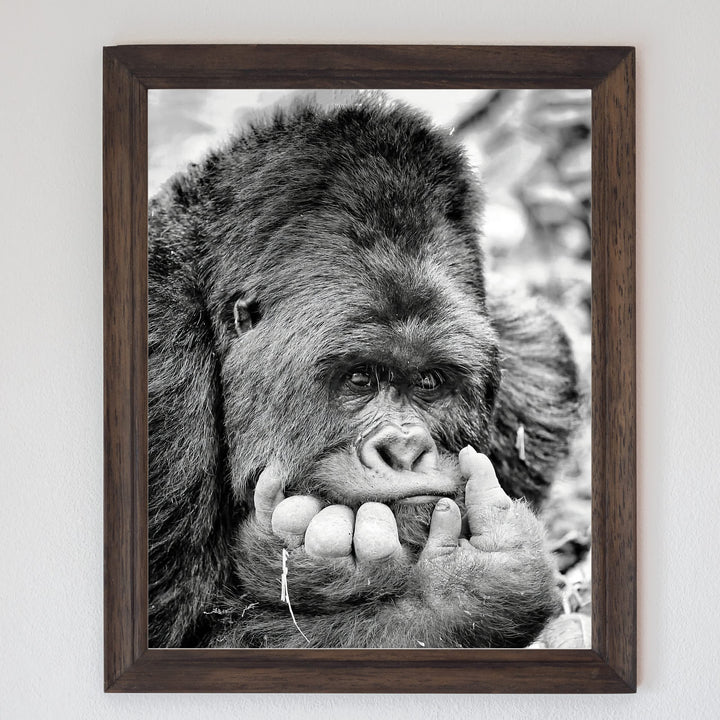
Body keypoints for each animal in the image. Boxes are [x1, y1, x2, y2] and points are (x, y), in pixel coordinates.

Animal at [147, 94, 580, 648]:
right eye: (359, 378)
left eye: (430, 382)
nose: (405, 451)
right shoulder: (160, 378)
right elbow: (181, 633)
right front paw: (467, 591)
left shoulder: (537, 364)